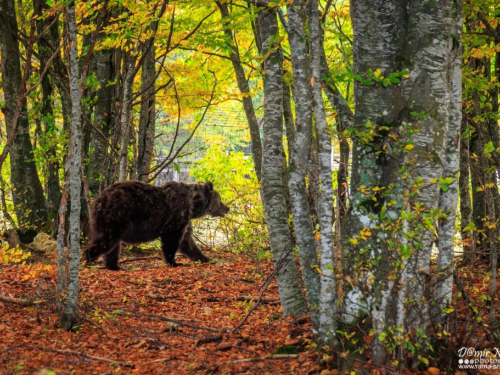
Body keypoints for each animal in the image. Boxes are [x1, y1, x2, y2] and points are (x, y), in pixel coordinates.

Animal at [84, 181, 229, 270]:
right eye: (220, 199)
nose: (227, 208)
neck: (193, 206)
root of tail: (98, 200)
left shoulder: (184, 220)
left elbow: (187, 243)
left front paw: (206, 258)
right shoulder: (176, 216)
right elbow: (172, 240)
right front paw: (174, 262)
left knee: (113, 246)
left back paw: (115, 266)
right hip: (116, 215)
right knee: (106, 241)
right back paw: (88, 261)